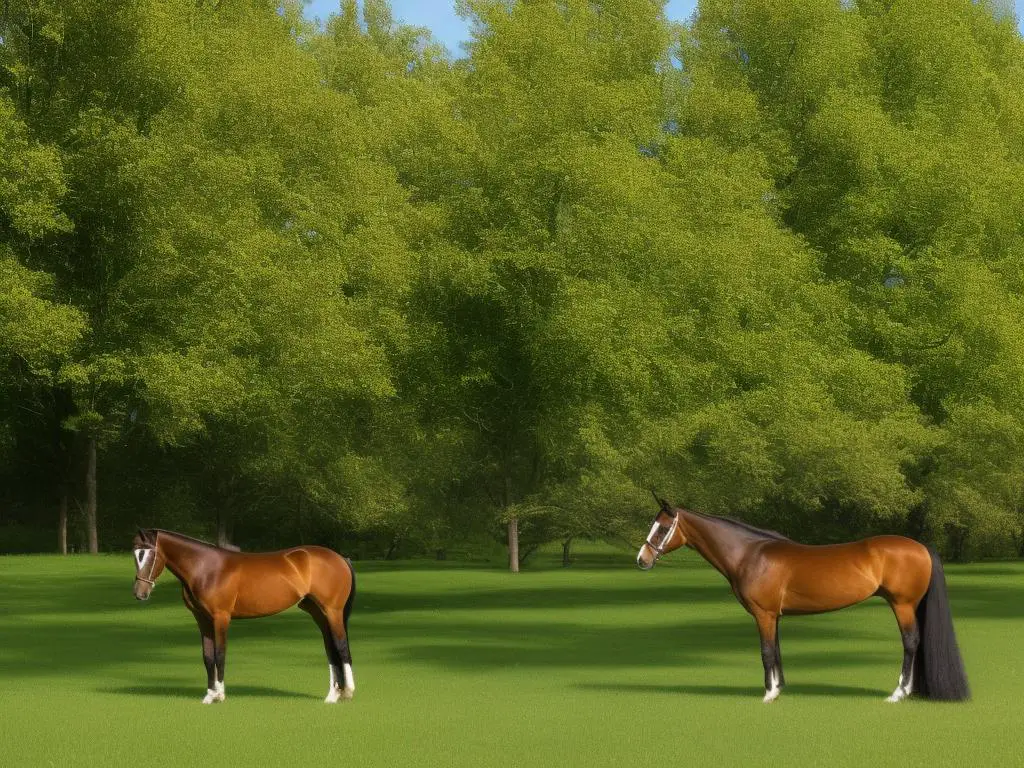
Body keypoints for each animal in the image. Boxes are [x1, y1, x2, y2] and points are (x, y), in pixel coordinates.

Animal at [132, 532, 356, 708]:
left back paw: (348, 691)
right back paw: (332, 696)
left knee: (341, 646)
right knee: (330, 649)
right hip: (318, 613)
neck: (206, 568)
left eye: (148, 554)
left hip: (333, 611)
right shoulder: (202, 619)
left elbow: (220, 654)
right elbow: (208, 657)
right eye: (135, 555)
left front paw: (220, 695)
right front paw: (209, 695)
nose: (140, 593)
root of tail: (340, 558)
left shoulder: (220, 617)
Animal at [634, 499, 970, 704]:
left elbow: (766, 652)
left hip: (902, 605)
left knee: (911, 643)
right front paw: (779, 687)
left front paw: (768, 695)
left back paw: (898, 693)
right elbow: (778, 651)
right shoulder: (775, 616)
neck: (750, 554)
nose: (642, 560)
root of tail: (921, 547)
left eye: (662, 528)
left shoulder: (764, 615)